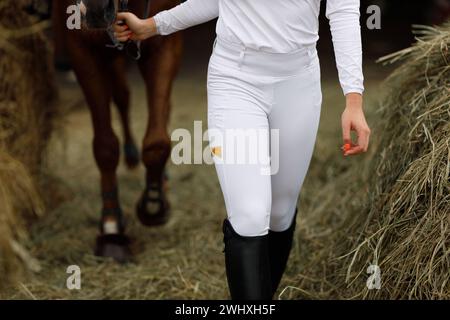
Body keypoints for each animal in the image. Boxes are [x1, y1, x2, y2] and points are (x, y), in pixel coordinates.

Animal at [54, 0, 183, 262]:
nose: (95, 9)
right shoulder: (83, 48)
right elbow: (105, 145)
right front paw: (111, 228)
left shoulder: (164, 42)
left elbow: (157, 141)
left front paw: (153, 203)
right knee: (122, 96)